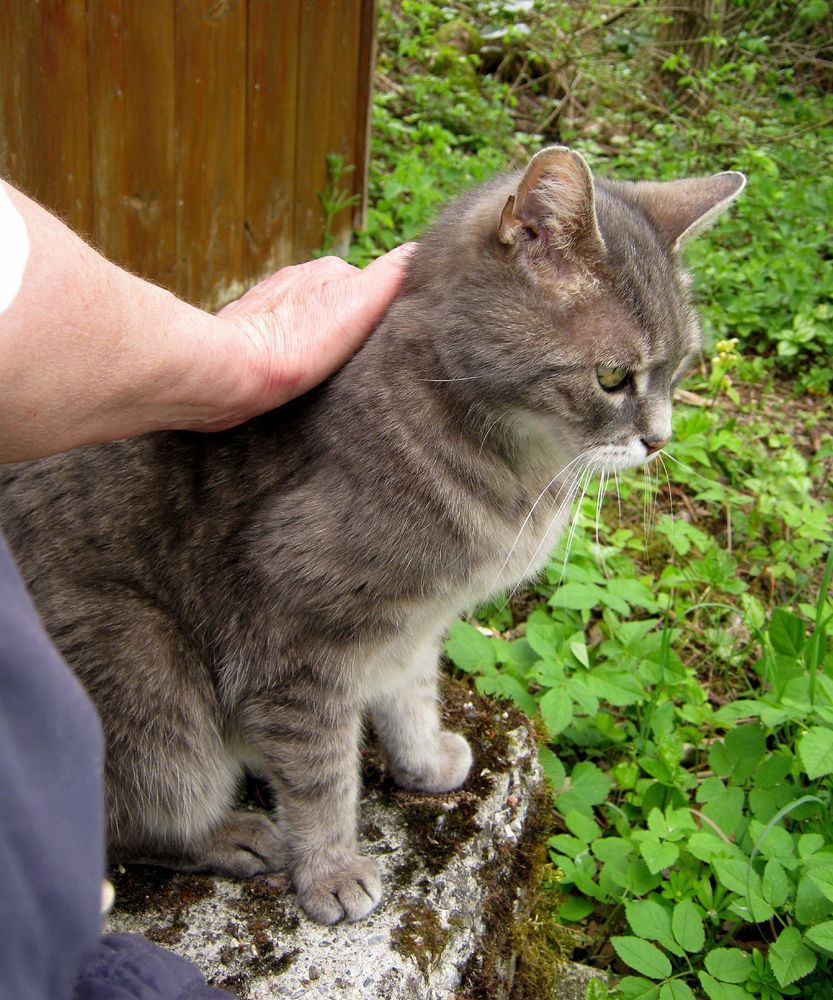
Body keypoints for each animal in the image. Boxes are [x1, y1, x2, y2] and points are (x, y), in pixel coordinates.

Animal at [0, 146, 740, 920]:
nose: (659, 441)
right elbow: (322, 775)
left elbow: (410, 696)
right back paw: (230, 835)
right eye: (613, 376)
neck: (510, 468)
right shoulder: (292, 636)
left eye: (680, 371)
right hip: (148, 671)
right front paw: (329, 871)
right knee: (118, 827)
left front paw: (425, 761)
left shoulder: (415, 624)